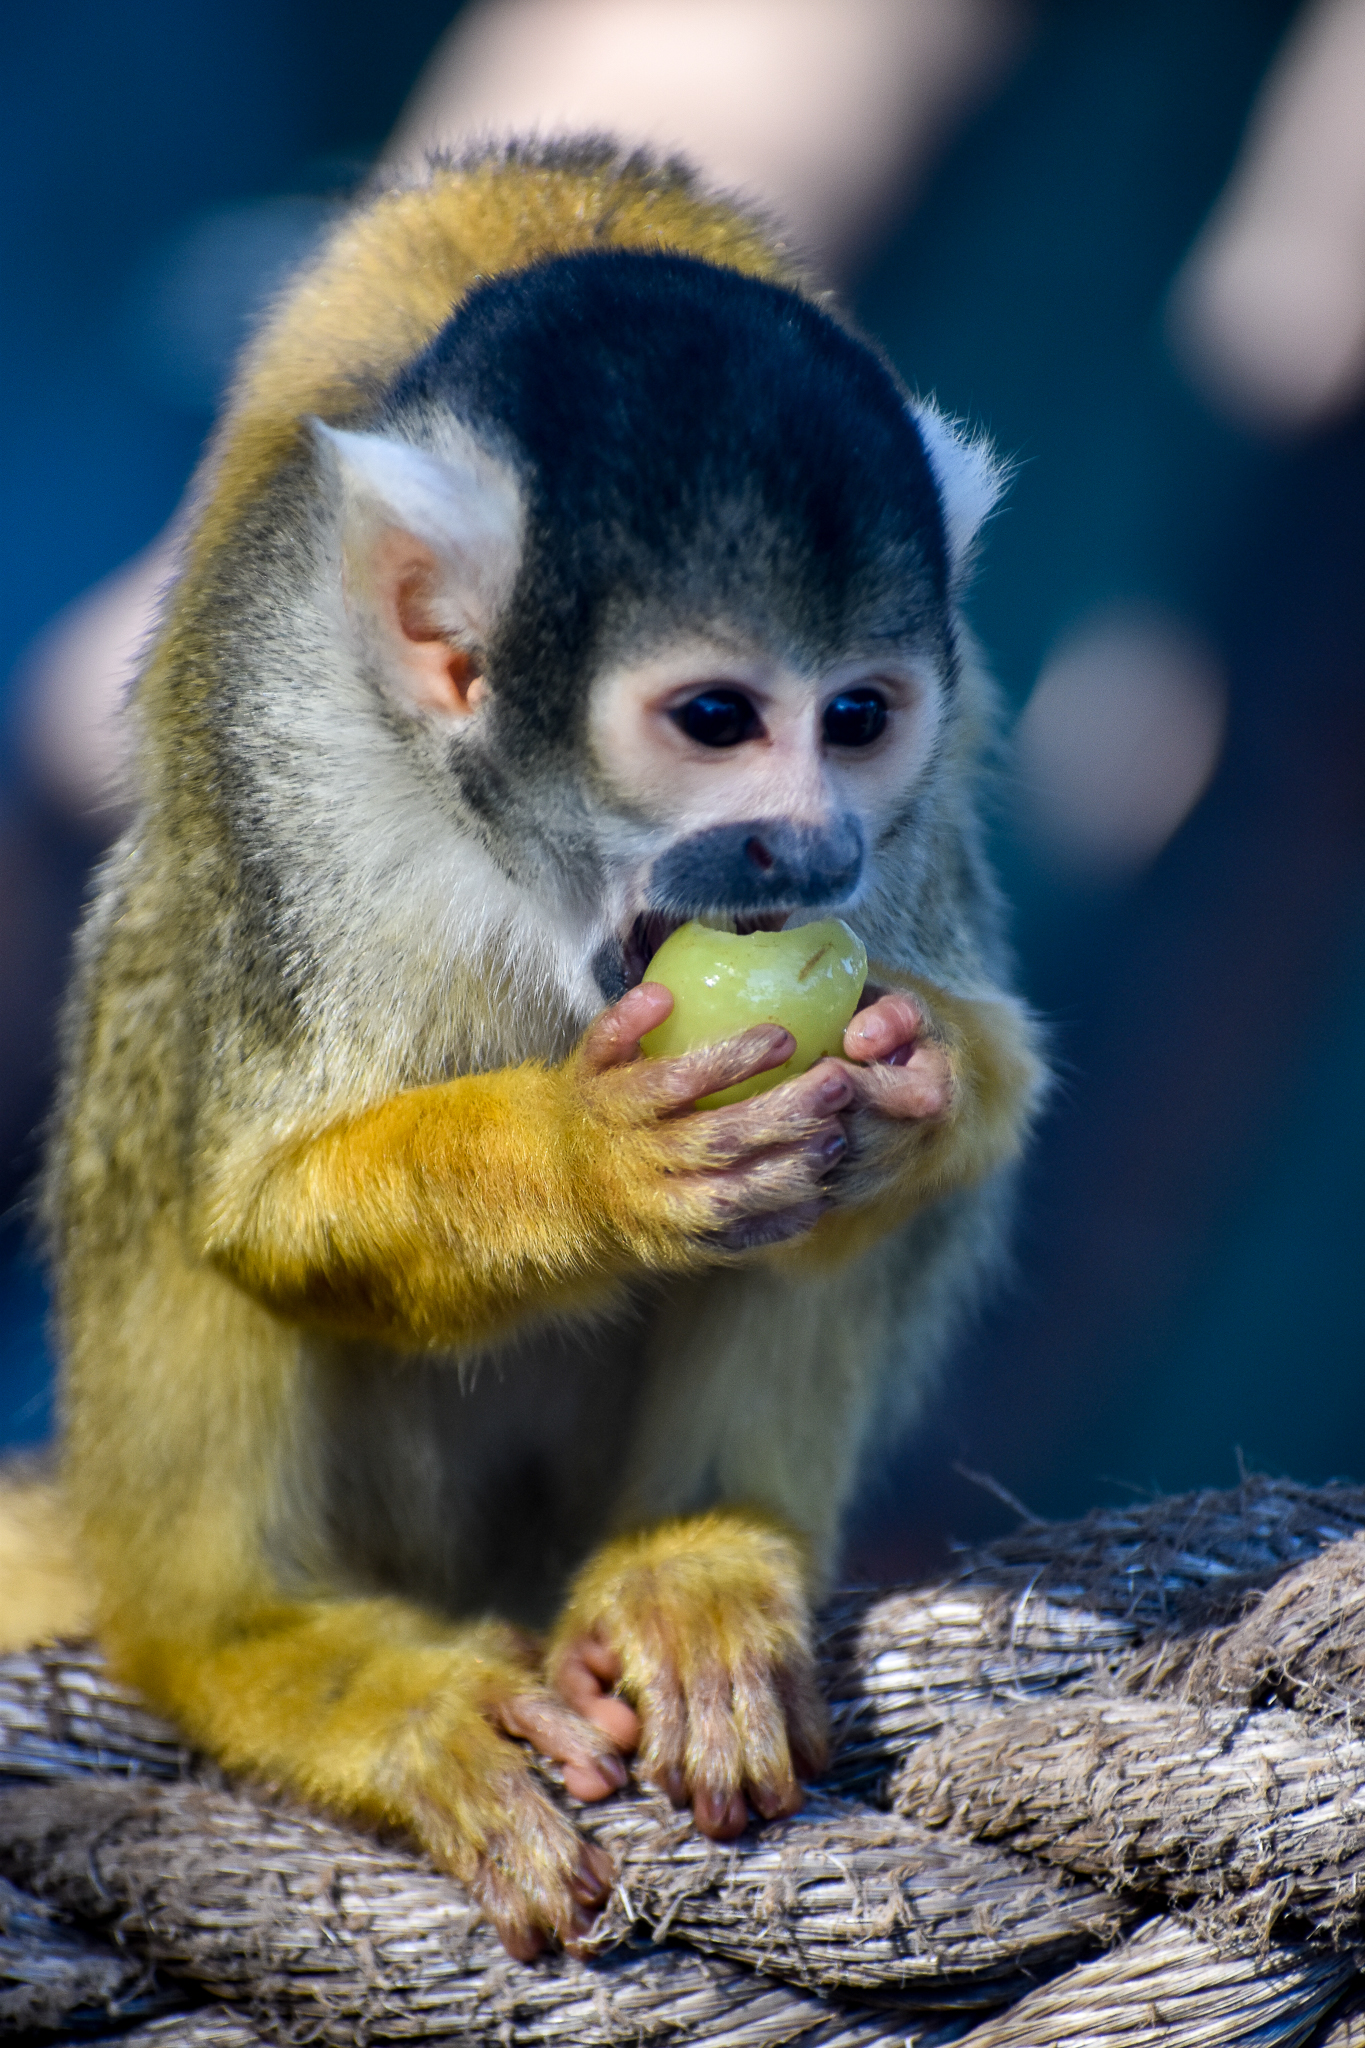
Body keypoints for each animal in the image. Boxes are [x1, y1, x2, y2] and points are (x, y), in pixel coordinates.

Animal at [19, 141, 1044, 1958]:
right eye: (716, 721)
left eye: (858, 717)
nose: (807, 850)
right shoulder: (297, 749)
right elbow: (263, 1205)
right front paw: (596, 1161)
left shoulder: (913, 824)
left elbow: (984, 1074)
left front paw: (906, 1097)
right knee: (170, 981)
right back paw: (256, 1648)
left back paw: (695, 1562)